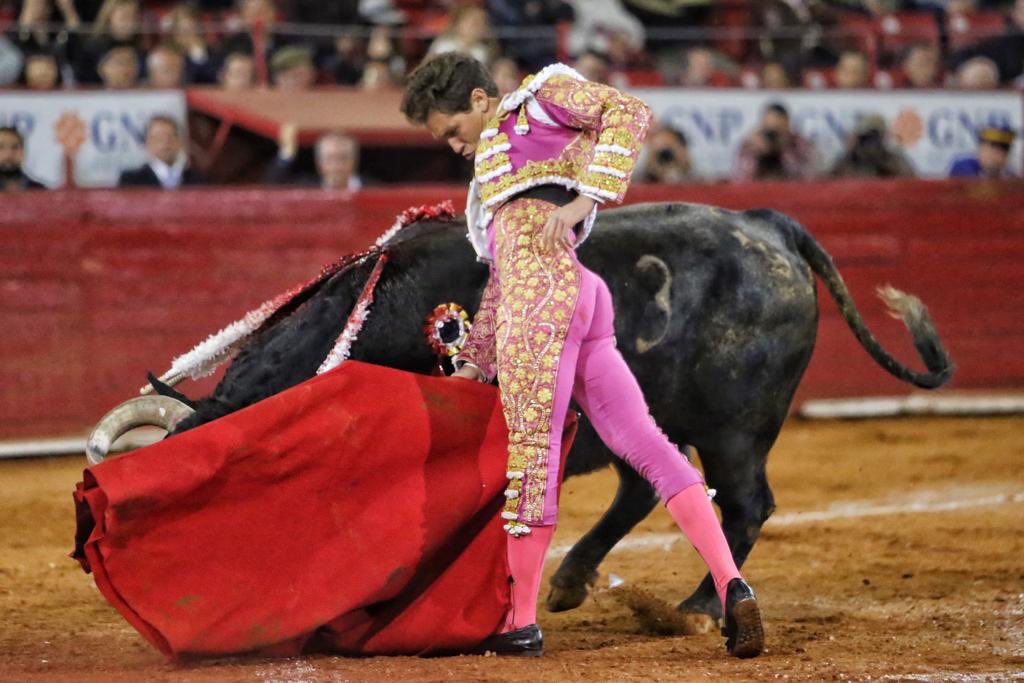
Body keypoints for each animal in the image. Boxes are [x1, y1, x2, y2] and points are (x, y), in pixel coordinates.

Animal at [89, 202, 952, 623]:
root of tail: (767, 226)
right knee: (647, 486)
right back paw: (574, 580)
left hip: (738, 427)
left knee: (742, 503)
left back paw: (702, 606)